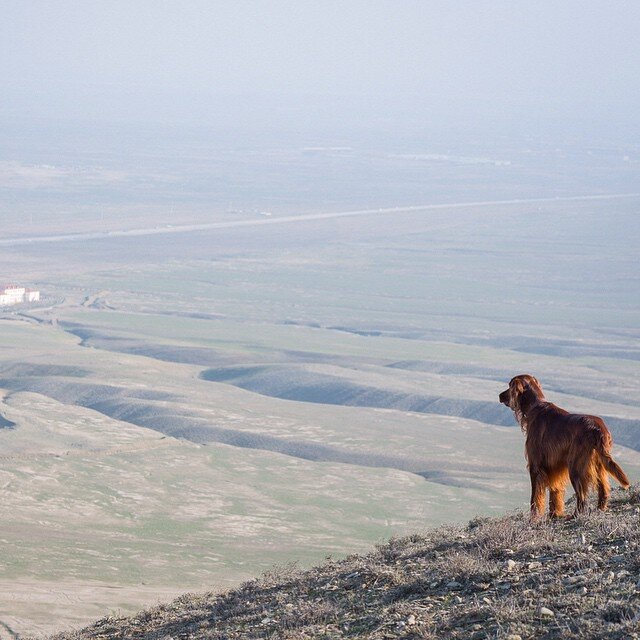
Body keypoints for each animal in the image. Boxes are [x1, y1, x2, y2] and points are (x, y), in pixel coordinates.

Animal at [498, 376, 628, 520]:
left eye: (509, 386)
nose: (500, 395)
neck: (535, 407)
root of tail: (598, 429)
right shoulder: (555, 466)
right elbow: (555, 492)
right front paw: (554, 514)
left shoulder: (535, 466)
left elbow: (535, 497)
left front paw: (534, 517)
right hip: (599, 463)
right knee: (603, 489)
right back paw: (600, 509)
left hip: (576, 468)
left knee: (582, 496)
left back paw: (575, 515)